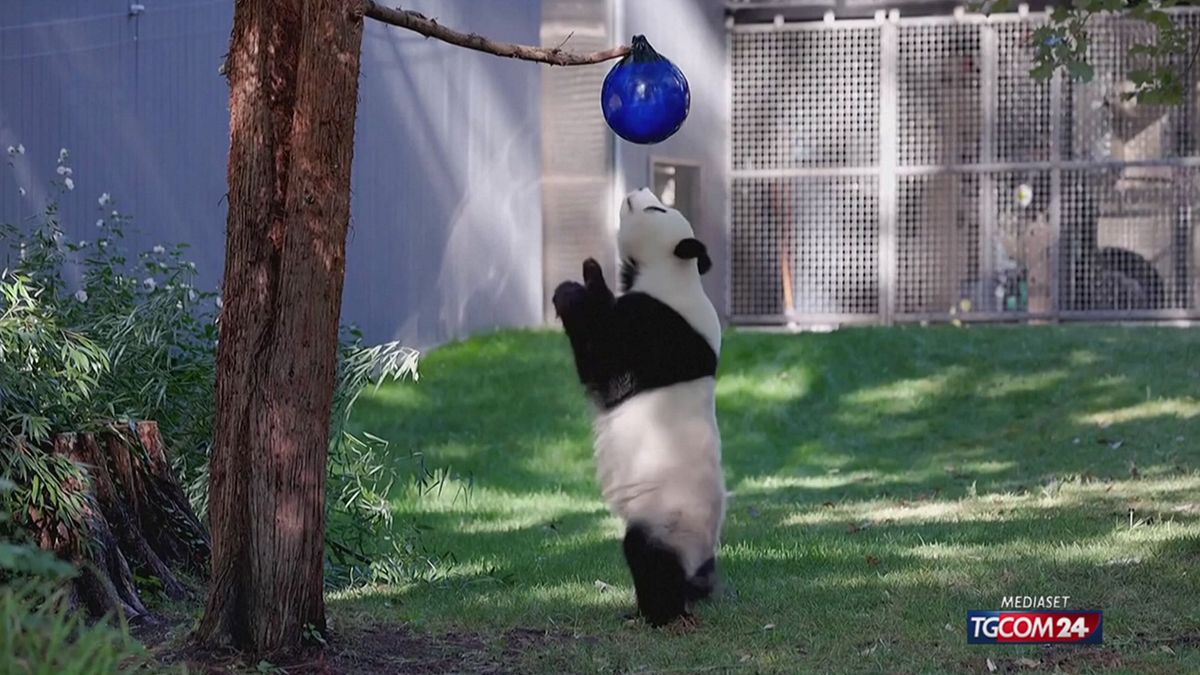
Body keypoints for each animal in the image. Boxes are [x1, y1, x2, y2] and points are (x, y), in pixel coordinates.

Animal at [552, 187, 725, 627]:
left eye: (657, 209)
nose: (638, 191)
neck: (675, 273)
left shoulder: (658, 330)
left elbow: (607, 366)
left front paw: (576, 291)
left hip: (668, 518)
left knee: (648, 558)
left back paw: (658, 613)